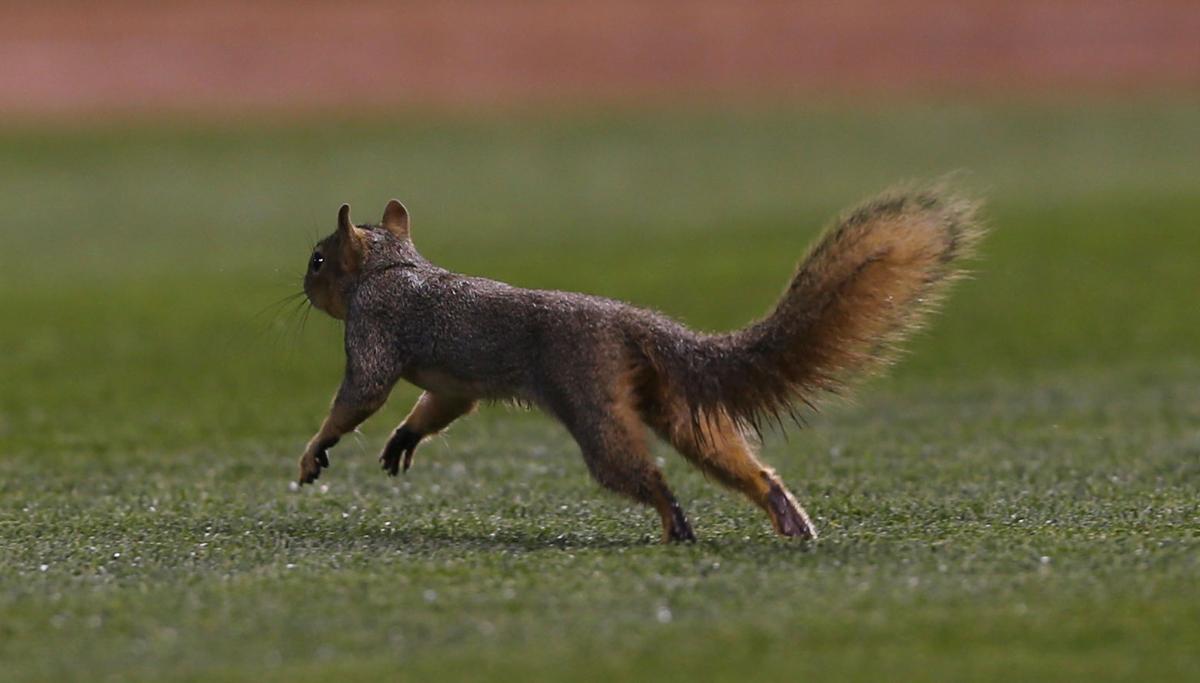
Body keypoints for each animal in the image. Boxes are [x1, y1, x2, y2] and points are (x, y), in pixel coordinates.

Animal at [296, 187, 982, 542]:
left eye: (318, 260)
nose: (302, 287)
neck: (394, 267)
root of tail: (635, 326)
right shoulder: (451, 386)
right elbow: (439, 405)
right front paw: (402, 441)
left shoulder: (374, 328)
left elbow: (362, 392)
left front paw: (314, 451)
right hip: (674, 405)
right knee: (735, 463)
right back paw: (787, 517)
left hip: (592, 400)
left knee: (636, 470)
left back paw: (676, 524)